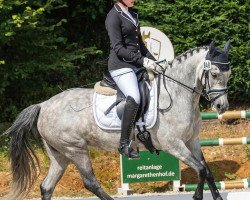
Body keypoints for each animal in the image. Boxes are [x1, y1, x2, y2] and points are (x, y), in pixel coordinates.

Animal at [3, 41, 231, 200]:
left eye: (228, 74)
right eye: (214, 73)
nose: (222, 106)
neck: (176, 94)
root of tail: (43, 105)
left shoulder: (192, 141)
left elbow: (207, 171)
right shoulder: (174, 145)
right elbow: (200, 170)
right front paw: (197, 196)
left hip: (60, 154)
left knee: (47, 186)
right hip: (75, 149)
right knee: (90, 182)